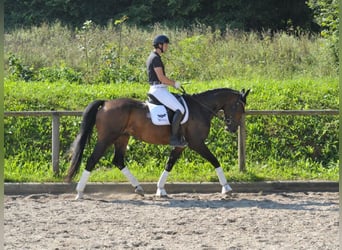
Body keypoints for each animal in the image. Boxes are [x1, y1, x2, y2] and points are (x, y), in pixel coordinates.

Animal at [65, 88, 250, 199]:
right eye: (239, 107)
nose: (231, 128)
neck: (201, 108)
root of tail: (105, 103)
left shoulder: (180, 145)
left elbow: (169, 164)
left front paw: (160, 190)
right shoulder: (196, 143)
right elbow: (214, 160)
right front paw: (226, 187)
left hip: (122, 138)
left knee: (118, 161)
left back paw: (138, 188)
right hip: (106, 138)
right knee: (92, 160)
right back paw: (80, 192)